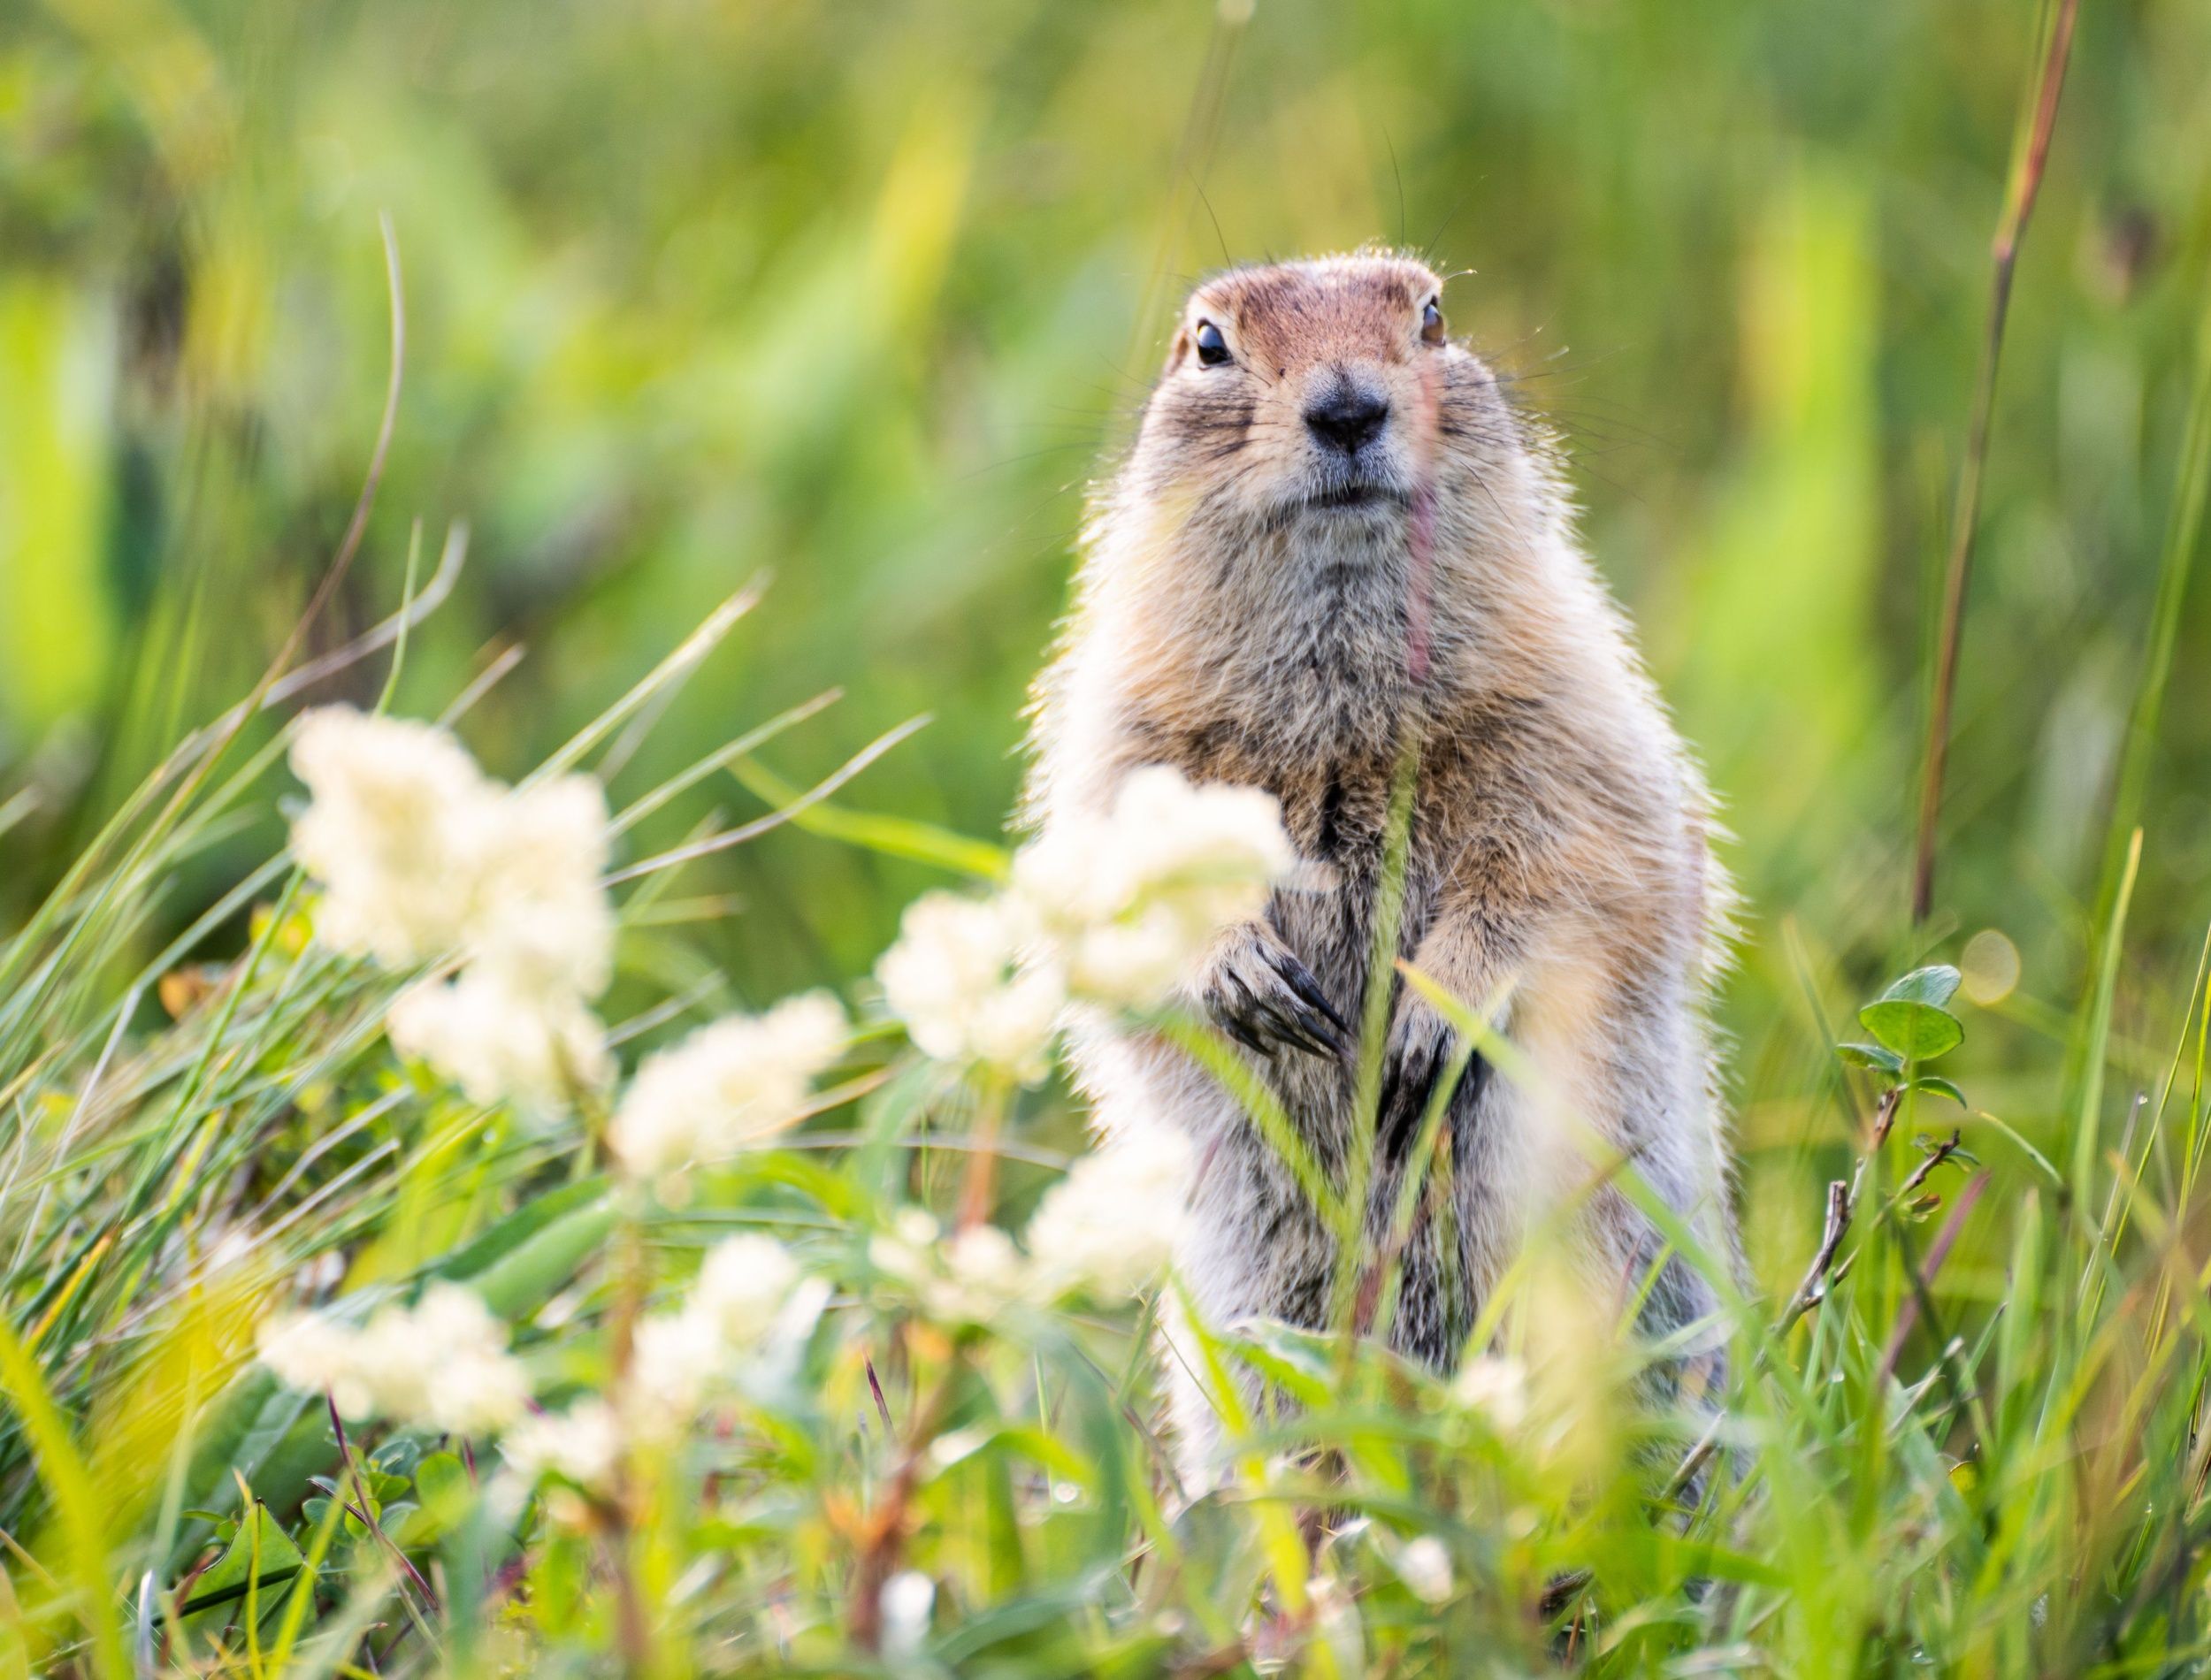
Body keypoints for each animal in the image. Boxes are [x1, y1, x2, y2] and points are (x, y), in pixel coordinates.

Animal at [1026, 249, 1733, 1468]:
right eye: (1207, 342)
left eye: (1434, 313)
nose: (1349, 405)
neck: (1341, 712)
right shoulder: (1123, 747)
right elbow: (1116, 881)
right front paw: (1245, 975)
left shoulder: (1568, 725)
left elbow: (1569, 874)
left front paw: (1430, 1020)